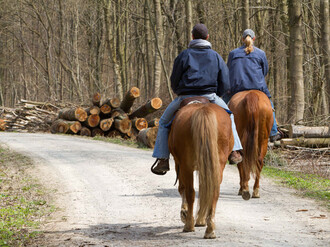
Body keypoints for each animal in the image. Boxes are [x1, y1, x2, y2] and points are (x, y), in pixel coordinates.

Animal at [169, 103, 233, 239]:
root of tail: (204, 109)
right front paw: (201, 220)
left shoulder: (179, 164)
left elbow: (183, 188)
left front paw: (185, 213)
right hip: (218, 165)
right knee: (213, 192)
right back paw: (210, 230)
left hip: (186, 166)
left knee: (190, 192)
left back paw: (189, 224)